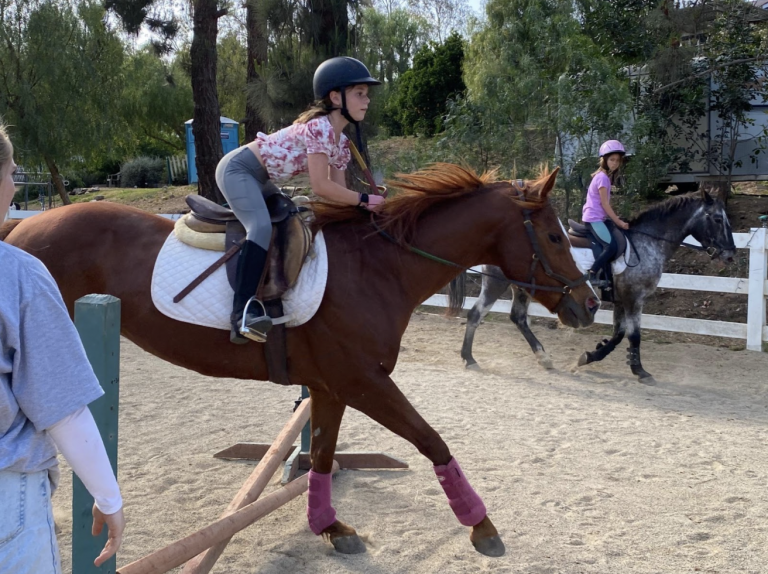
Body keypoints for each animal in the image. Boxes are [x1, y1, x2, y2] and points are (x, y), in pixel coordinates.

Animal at [3, 165, 596, 560]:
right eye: (553, 235)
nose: (589, 305)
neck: (380, 267)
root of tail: (22, 229)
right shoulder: (364, 381)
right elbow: (432, 440)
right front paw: (482, 527)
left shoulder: (332, 387)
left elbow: (324, 457)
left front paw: (331, 528)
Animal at [450, 190, 736, 388]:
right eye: (718, 218)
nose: (730, 254)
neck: (647, 242)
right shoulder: (635, 297)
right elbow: (634, 335)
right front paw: (641, 372)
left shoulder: (621, 299)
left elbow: (619, 334)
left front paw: (589, 356)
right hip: (497, 282)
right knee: (477, 314)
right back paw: (470, 359)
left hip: (522, 286)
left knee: (517, 318)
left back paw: (542, 358)